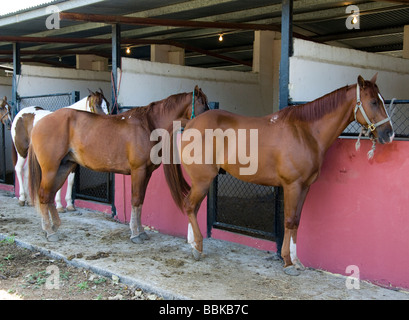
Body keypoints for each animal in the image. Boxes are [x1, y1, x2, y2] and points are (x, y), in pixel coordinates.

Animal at [27, 87, 209, 242]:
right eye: (203, 104)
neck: (149, 125)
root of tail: (39, 123)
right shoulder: (138, 171)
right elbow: (135, 200)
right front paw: (135, 234)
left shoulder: (147, 173)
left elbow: (141, 200)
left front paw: (141, 231)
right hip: (50, 169)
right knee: (43, 194)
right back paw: (49, 231)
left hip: (63, 167)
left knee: (49, 194)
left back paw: (54, 227)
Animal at [163, 74, 392, 276]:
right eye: (373, 102)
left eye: (382, 100)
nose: (389, 134)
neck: (306, 132)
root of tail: (191, 124)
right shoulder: (292, 185)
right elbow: (289, 221)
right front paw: (288, 263)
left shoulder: (305, 186)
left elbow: (296, 221)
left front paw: (296, 261)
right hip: (202, 180)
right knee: (189, 206)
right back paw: (197, 248)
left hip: (201, 181)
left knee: (193, 207)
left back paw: (193, 244)